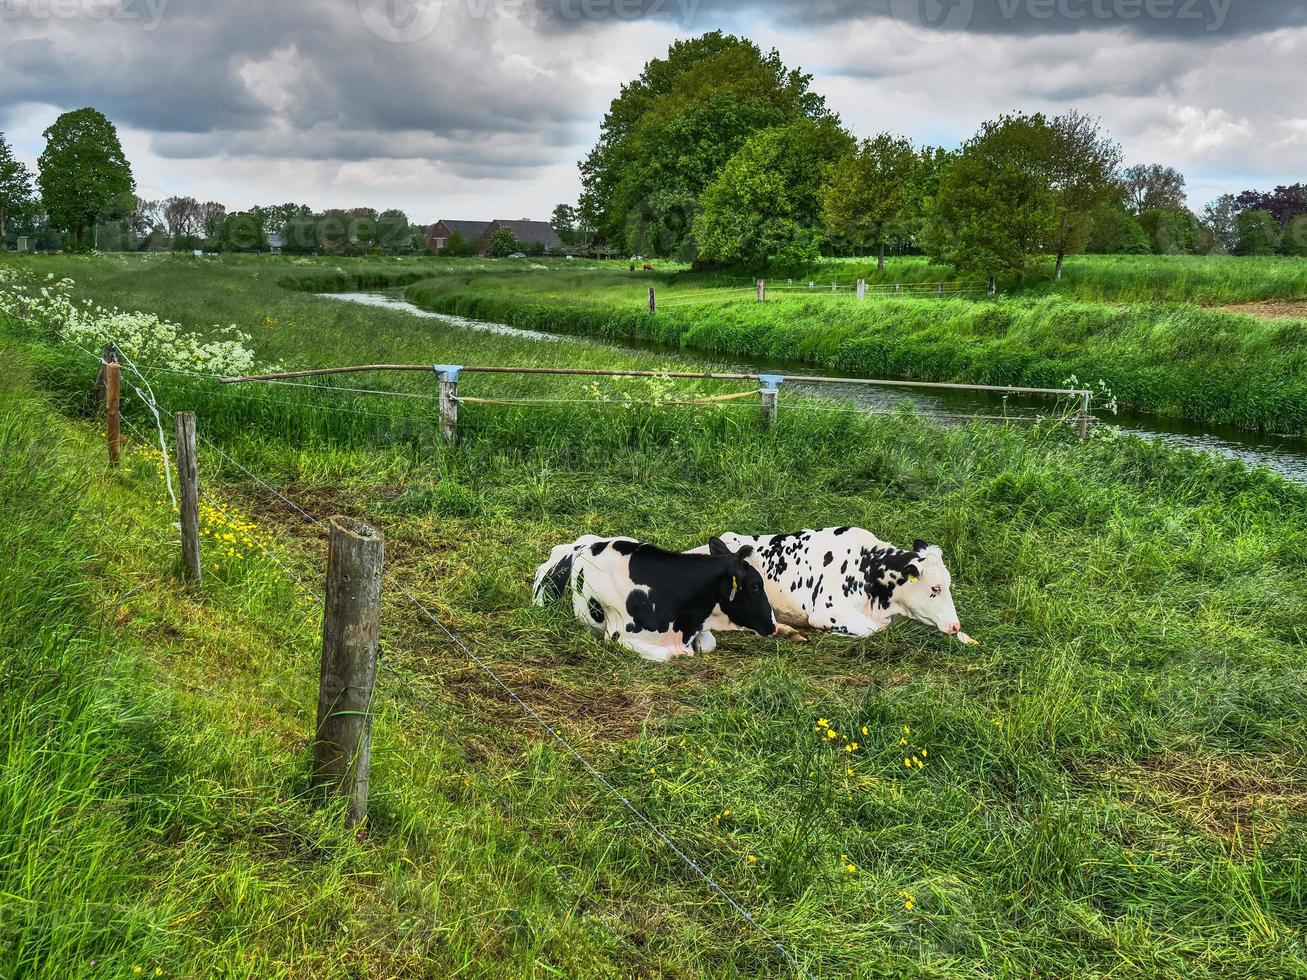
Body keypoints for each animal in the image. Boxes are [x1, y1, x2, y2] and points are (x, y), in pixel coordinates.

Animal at [690, 530, 977, 653]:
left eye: (948, 584)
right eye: (935, 588)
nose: (954, 624)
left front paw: (968, 638)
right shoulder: (827, 611)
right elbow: (872, 630)